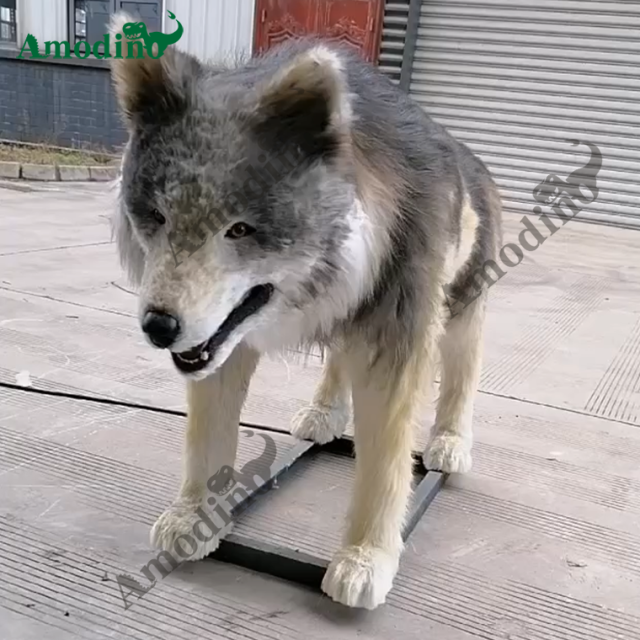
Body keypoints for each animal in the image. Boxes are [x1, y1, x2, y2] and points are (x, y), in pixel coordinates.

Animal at [109, 13, 501, 610]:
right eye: (156, 216)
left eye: (240, 229)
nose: (159, 327)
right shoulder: (223, 345)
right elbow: (207, 440)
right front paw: (193, 519)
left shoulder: (396, 340)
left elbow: (384, 464)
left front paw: (365, 560)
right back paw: (324, 415)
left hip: (461, 311)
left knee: (461, 376)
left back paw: (449, 445)